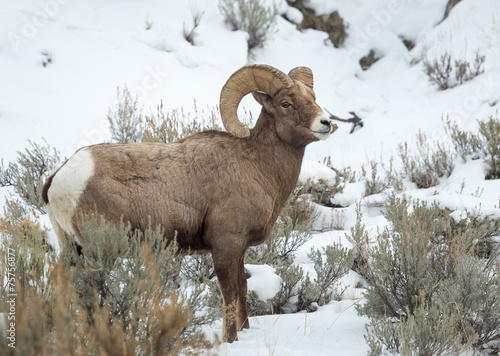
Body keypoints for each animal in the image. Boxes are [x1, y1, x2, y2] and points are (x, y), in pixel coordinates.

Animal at [42, 64, 336, 342]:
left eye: (312, 98)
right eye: (286, 103)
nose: (326, 122)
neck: (258, 166)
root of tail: (60, 177)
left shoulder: (239, 249)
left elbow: (242, 289)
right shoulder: (226, 245)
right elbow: (229, 294)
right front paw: (230, 340)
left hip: (71, 248)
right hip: (99, 252)